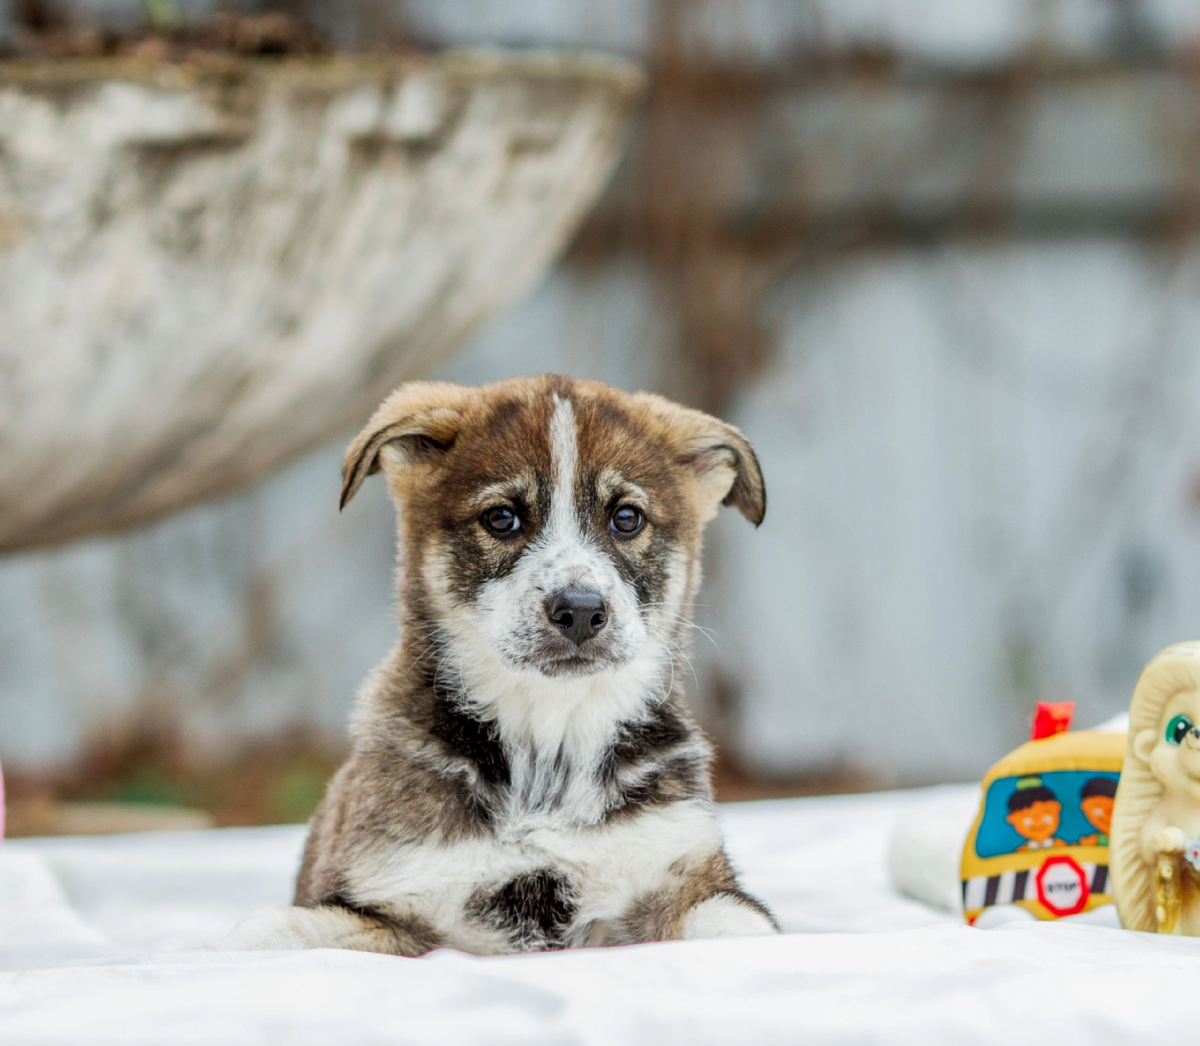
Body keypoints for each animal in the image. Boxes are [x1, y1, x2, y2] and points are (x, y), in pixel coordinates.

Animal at [224, 376, 777, 954]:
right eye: (501, 518)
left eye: (627, 518)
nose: (581, 611)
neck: (549, 750)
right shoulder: (395, 893)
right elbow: (281, 927)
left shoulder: (679, 867)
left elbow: (737, 924)